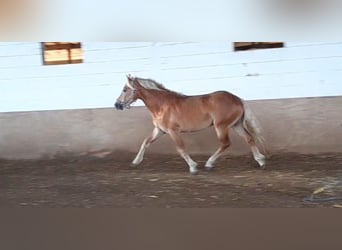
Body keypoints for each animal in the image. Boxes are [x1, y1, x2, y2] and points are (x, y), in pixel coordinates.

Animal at [113, 75, 266, 175]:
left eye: (125, 89)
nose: (117, 105)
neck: (162, 105)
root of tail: (238, 99)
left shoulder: (173, 131)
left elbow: (180, 149)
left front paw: (193, 167)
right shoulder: (159, 130)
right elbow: (145, 142)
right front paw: (135, 162)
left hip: (221, 127)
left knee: (226, 144)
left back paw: (209, 164)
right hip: (236, 125)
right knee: (249, 138)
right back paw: (261, 161)